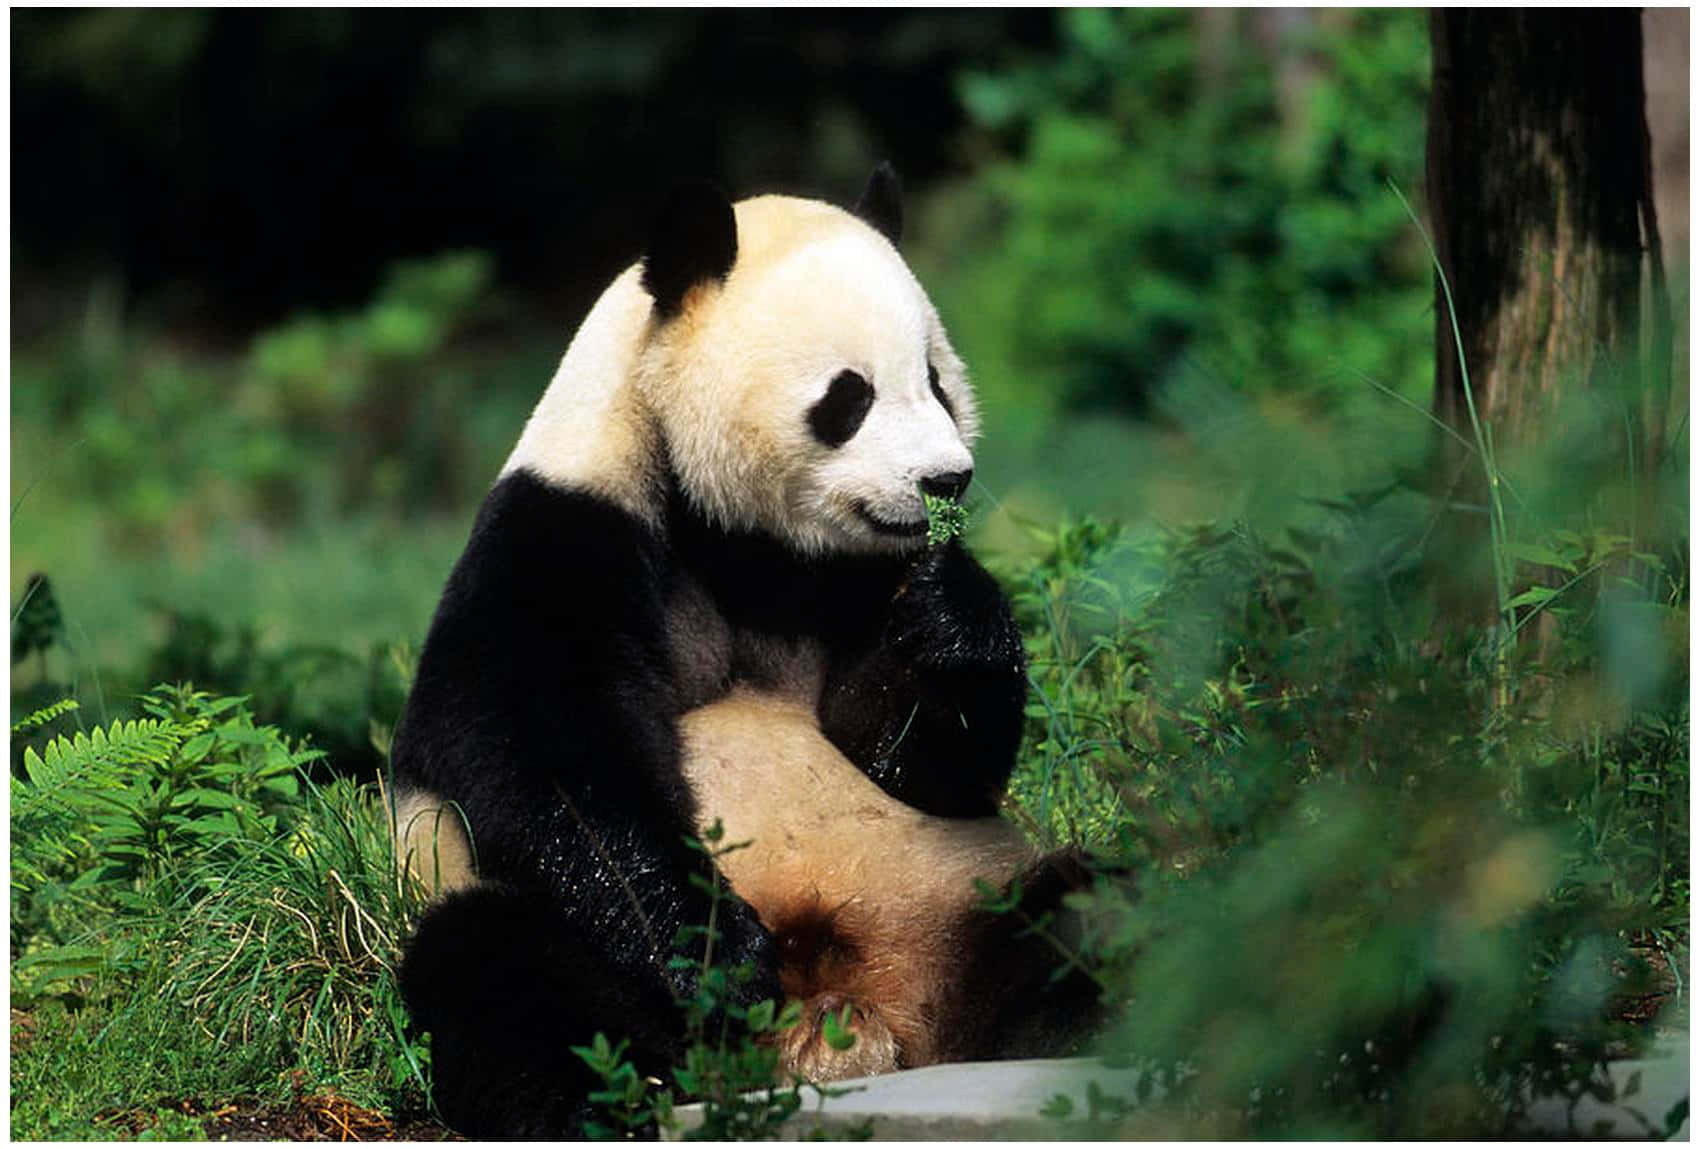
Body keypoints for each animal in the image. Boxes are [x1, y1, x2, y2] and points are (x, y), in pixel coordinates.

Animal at [391, 168, 1102, 1139]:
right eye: (850, 395)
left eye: (937, 381)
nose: (946, 480)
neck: (742, 537)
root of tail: (856, 1022)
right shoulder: (564, 531)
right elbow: (541, 755)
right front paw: (716, 957)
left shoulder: (851, 577)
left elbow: (912, 762)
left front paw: (951, 608)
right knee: (498, 968)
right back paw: (612, 1096)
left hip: (962, 900)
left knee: (1100, 906)